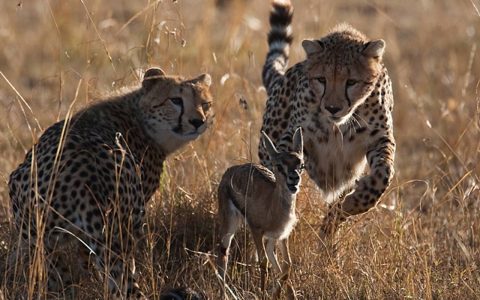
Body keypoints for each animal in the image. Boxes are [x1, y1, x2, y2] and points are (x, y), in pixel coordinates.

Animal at [7, 67, 214, 298]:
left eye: (206, 104)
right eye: (176, 100)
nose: (198, 122)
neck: (138, 115)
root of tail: (87, 174)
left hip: (36, 227)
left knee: (55, 270)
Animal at [260, 1, 396, 238]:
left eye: (351, 82)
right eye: (321, 79)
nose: (333, 108)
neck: (339, 126)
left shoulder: (381, 138)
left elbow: (384, 173)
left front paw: (355, 203)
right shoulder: (295, 134)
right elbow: (285, 158)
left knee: (335, 210)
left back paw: (329, 229)